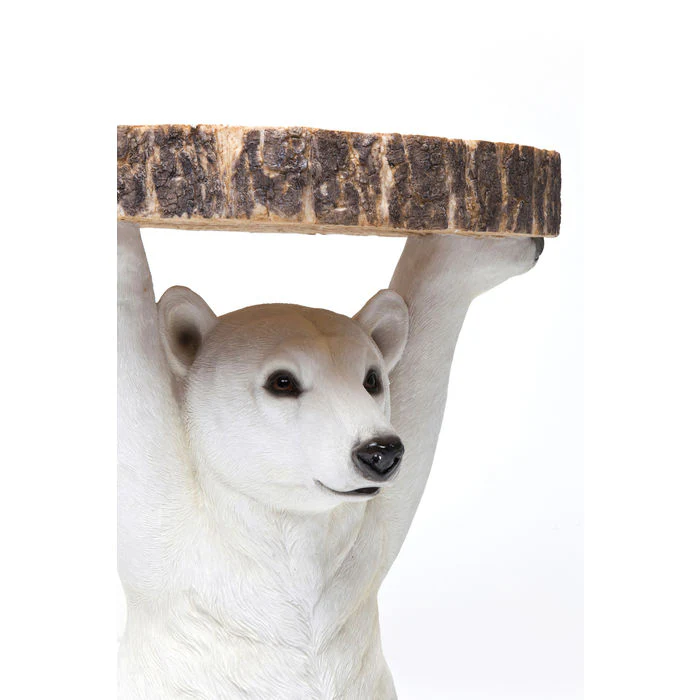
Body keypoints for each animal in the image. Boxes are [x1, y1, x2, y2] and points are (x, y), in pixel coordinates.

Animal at [118, 221, 542, 699]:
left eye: (372, 379)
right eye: (282, 381)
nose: (380, 452)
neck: (290, 528)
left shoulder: (365, 550)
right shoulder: (174, 547)